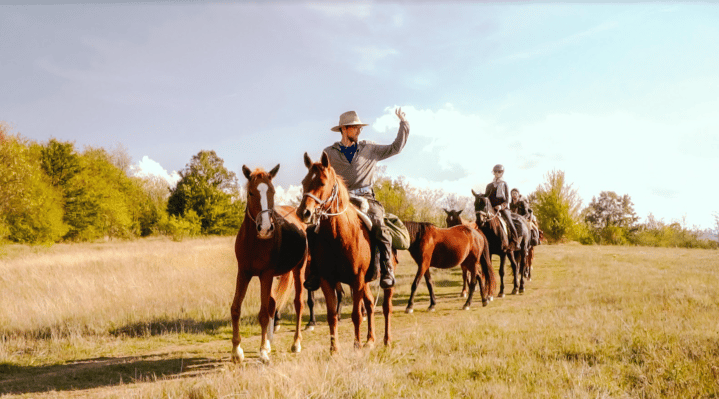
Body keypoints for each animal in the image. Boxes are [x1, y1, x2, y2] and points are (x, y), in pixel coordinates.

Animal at [232, 164, 308, 364]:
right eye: (251, 192)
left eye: (272, 191)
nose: (265, 228)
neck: (255, 242)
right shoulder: (243, 273)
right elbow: (236, 309)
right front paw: (236, 351)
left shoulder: (265, 275)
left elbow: (264, 313)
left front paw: (263, 352)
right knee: (274, 304)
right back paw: (269, 342)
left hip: (299, 270)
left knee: (298, 304)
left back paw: (296, 343)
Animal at [296, 153, 394, 354]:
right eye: (304, 182)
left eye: (322, 182)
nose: (304, 212)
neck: (338, 236)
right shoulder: (327, 280)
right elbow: (332, 315)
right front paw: (334, 349)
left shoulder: (356, 279)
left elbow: (356, 314)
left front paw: (356, 346)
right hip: (365, 282)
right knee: (370, 304)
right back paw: (370, 340)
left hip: (382, 282)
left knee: (386, 307)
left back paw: (386, 340)